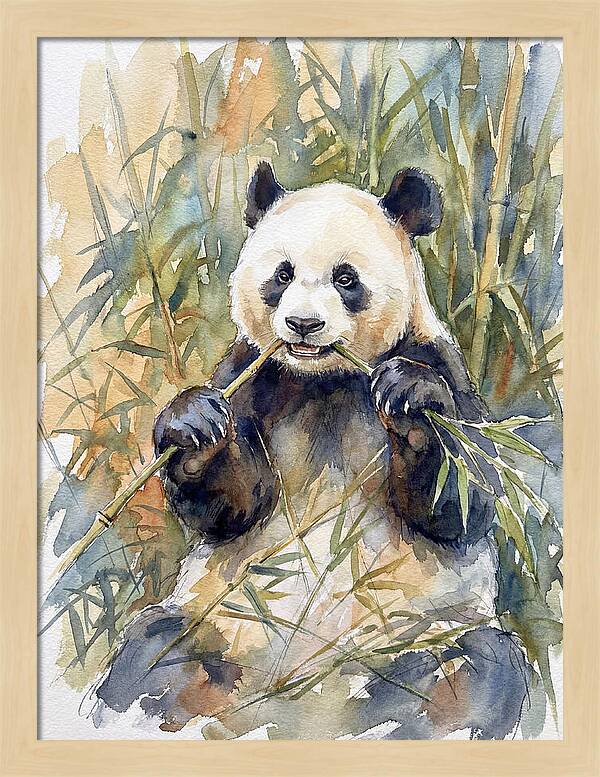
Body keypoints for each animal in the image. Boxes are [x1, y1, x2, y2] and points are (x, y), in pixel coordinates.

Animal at [95, 162, 531, 740]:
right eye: (282, 275)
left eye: (346, 279)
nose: (303, 325)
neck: (325, 380)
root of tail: (298, 698)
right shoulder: (253, 373)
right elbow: (236, 506)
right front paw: (194, 425)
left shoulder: (437, 361)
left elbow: (464, 499)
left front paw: (411, 401)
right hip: (219, 624)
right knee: (149, 656)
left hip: (418, 634)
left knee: (478, 670)